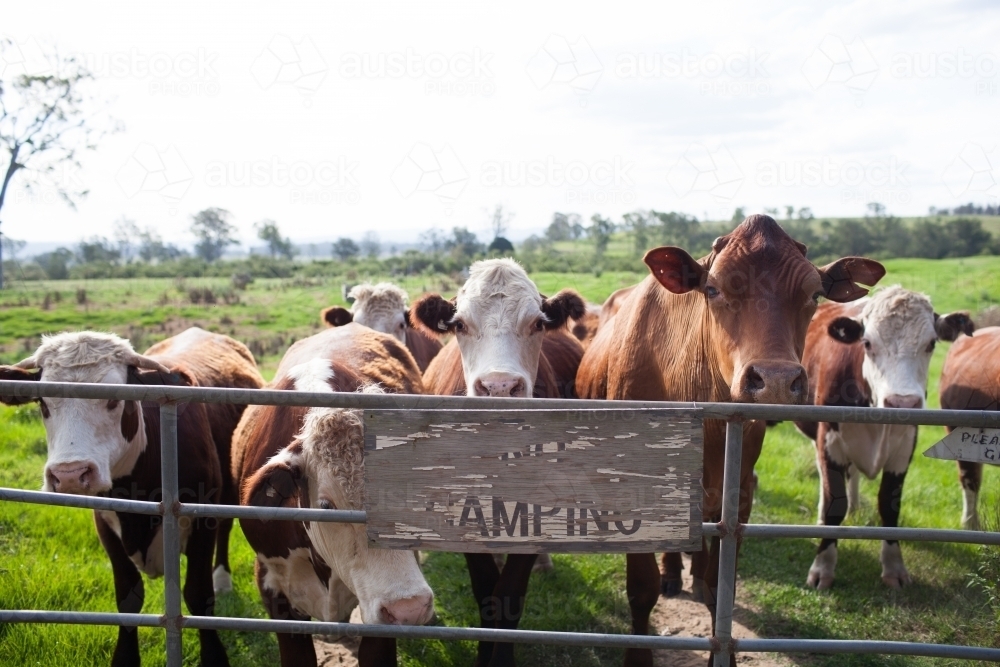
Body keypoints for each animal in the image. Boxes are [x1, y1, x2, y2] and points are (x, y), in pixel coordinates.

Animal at [0, 327, 264, 666]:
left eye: (115, 399)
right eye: (43, 402)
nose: (70, 474)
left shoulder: (201, 518)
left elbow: (198, 595)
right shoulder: (105, 524)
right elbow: (128, 599)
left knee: (226, 528)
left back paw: (223, 578)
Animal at [575, 214, 885, 667]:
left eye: (814, 294)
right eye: (713, 288)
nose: (776, 380)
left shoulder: (738, 492)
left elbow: (721, 585)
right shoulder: (635, 495)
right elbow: (641, 589)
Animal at [795, 286, 973, 590]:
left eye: (931, 343)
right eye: (867, 343)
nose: (902, 403)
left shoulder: (903, 449)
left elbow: (889, 507)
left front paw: (894, 568)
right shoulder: (829, 441)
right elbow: (834, 504)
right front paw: (822, 568)